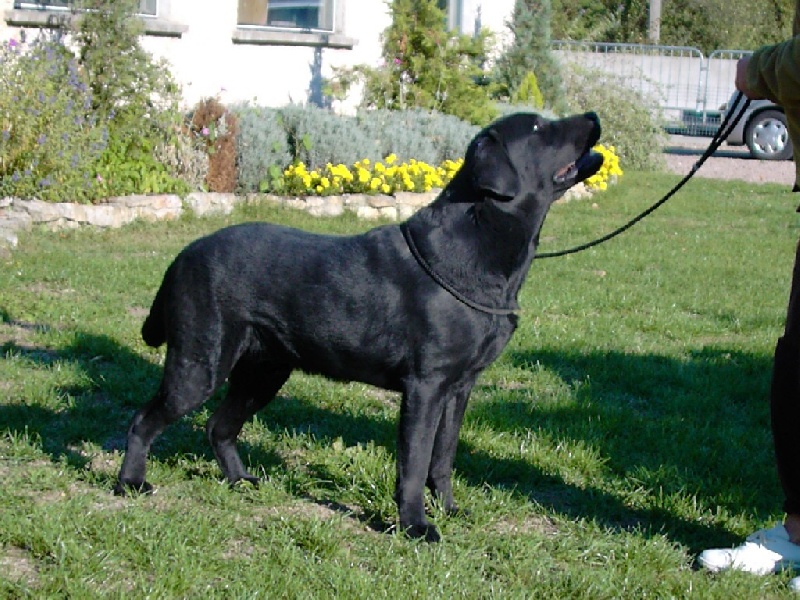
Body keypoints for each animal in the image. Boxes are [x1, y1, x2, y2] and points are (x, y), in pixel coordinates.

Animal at [112, 110, 600, 540]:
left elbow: (443, 458)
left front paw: (449, 508)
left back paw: (240, 480)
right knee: (142, 419)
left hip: (263, 371)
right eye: (538, 128)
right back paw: (131, 483)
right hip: (200, 363)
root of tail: (181, 256)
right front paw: (415, 526)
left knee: (219, 426)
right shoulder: (425, 387)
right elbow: (414, 463)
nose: (593, 116)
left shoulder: (460, 386)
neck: (481, 243)